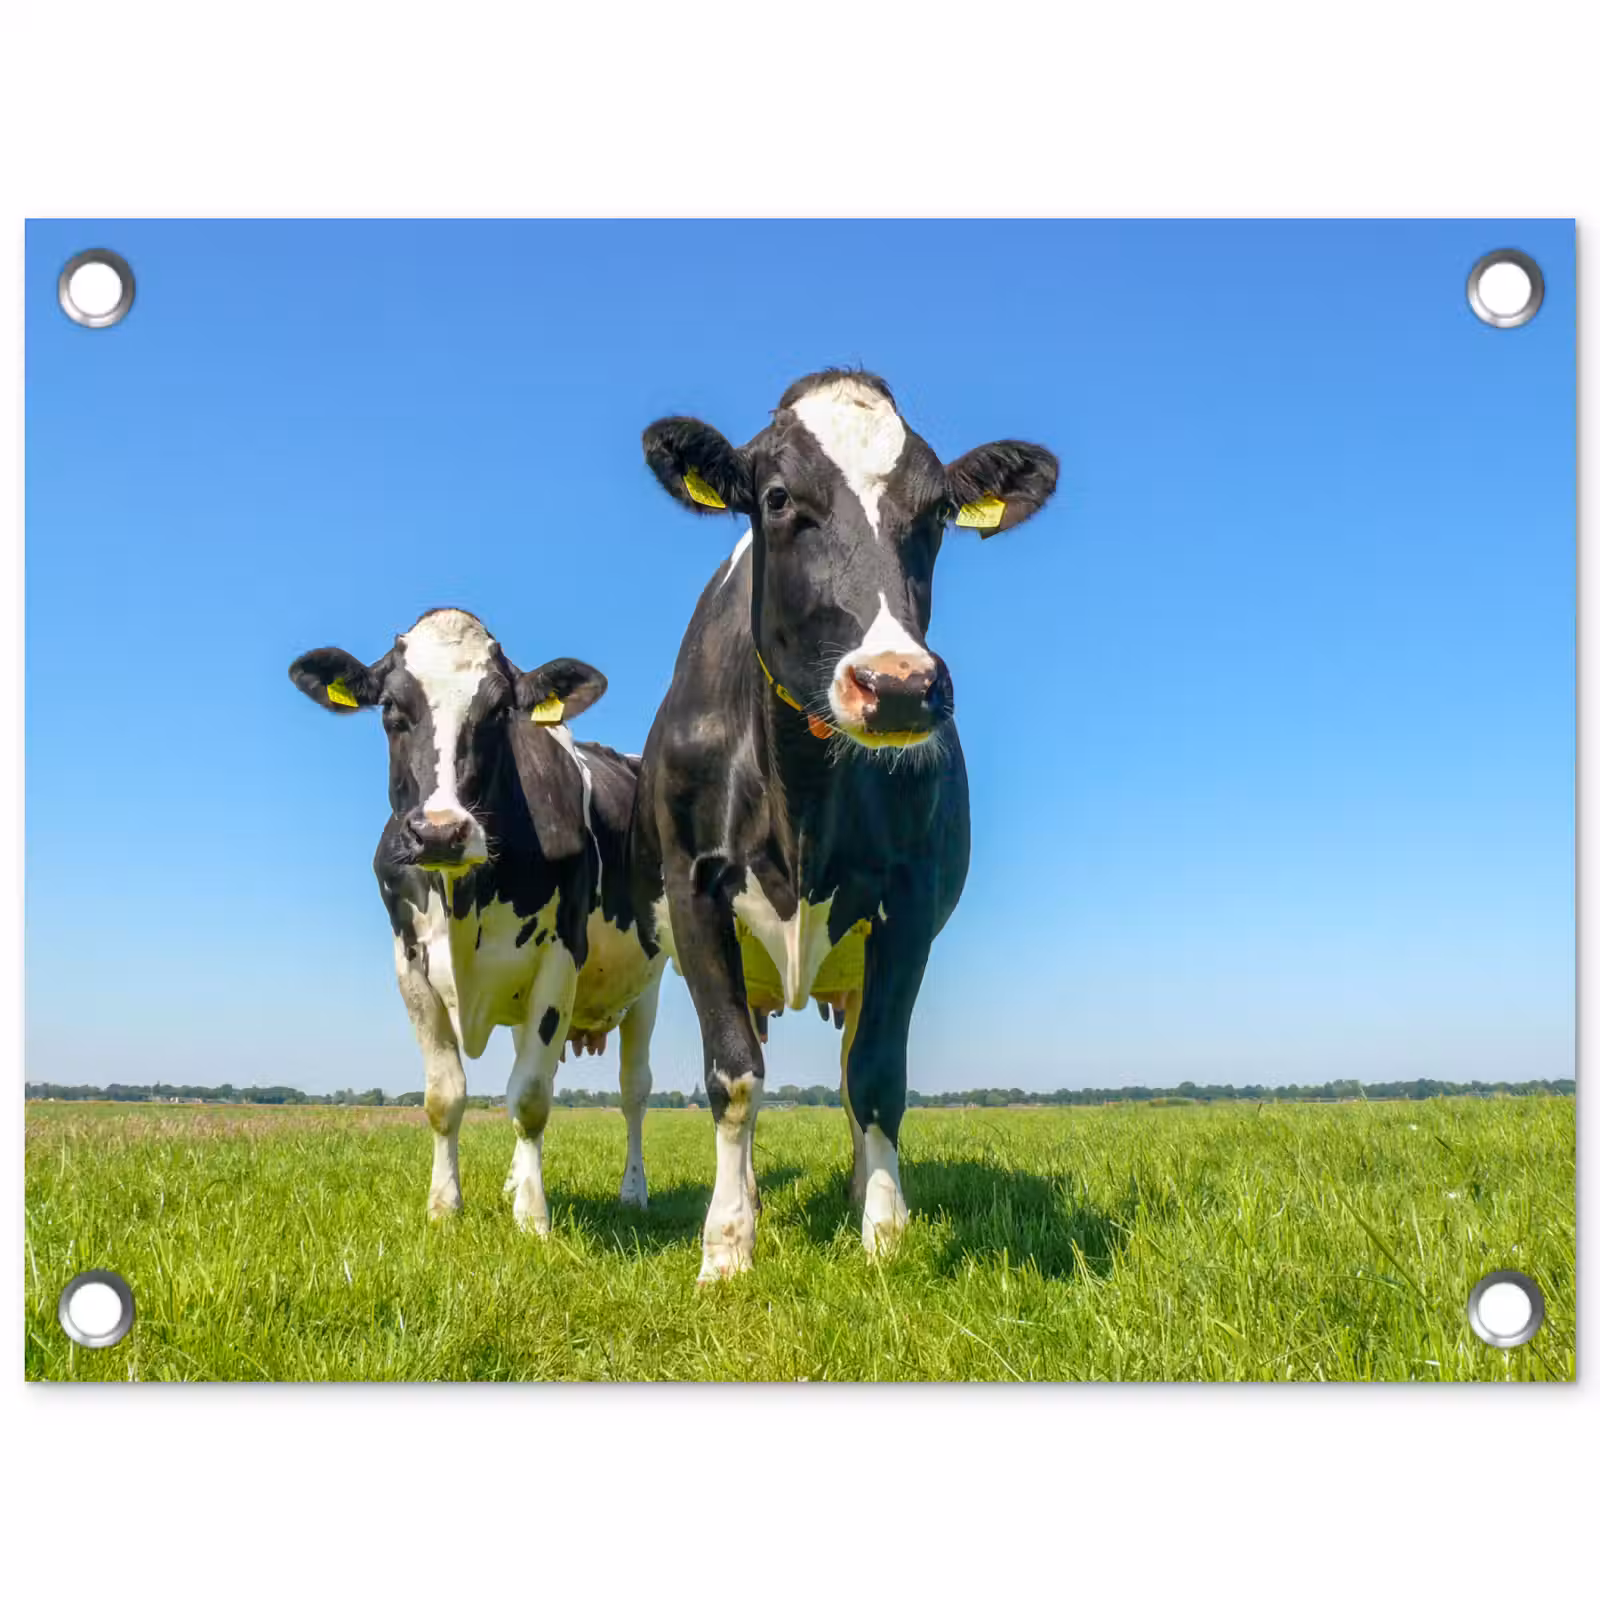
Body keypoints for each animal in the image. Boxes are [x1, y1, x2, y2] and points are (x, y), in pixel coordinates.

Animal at [289, 607, 665, 1233]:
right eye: (390, 709)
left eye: (498, 711)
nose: (440, 831)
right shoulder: (410, 965)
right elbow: (446, 1095)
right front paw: (445, 1206)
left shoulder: (560, 957)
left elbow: (532, 1096)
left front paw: (533, 1217)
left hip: (650, 984)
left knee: (634, 1090)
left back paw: (633, 1190)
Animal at [631, 370, 1058, 1280]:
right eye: (778, 498)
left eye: (937, 512)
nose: (896, 685)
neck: (801, 789)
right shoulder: (694, 892)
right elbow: (734, 1076)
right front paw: (727, 1246)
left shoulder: (907, 907)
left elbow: (876, 1077)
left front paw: (885, 1234)